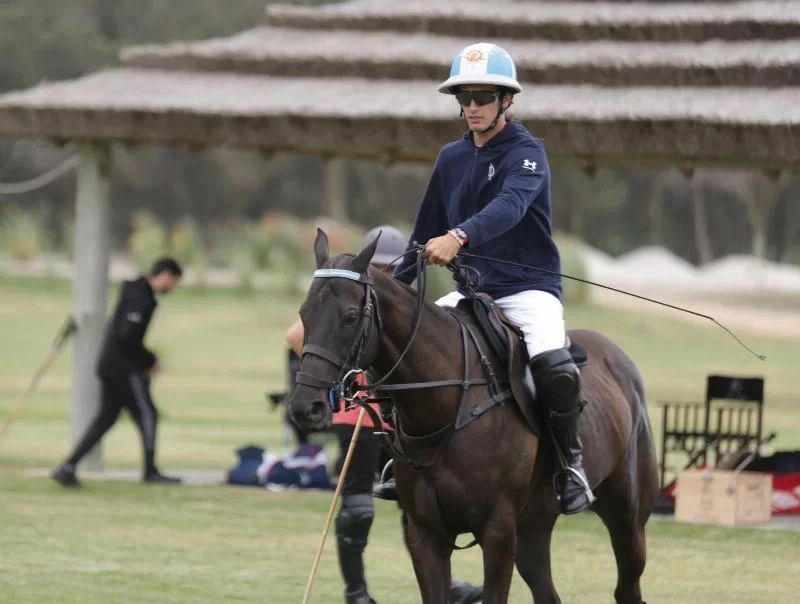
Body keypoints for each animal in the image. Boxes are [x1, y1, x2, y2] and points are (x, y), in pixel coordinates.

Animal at [290, 229, 660, 600]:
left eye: (351, 316)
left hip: (627, 518)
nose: (306, 407)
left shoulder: (497, 531)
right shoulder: (427, 535)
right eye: (304, 313)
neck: (444, 410)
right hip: (533, 526)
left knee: (627, 585)